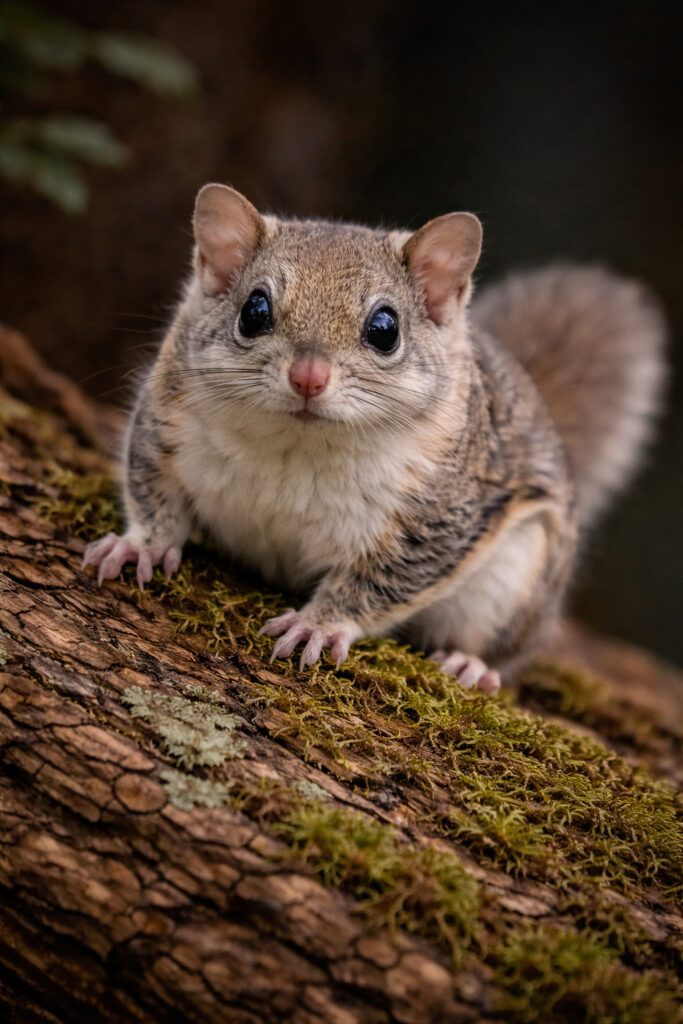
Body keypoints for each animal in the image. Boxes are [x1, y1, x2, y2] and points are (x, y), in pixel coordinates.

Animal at [83, 184, 666, 693]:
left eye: (385, 329)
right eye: (253, 310)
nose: (308, 377)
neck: (298, 446)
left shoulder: (439, 515)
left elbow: (380, 581)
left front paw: (318, 624)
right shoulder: (164, 424)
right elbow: (153, 493)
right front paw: (141, 545)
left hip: (518, 580)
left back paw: (471, 665)